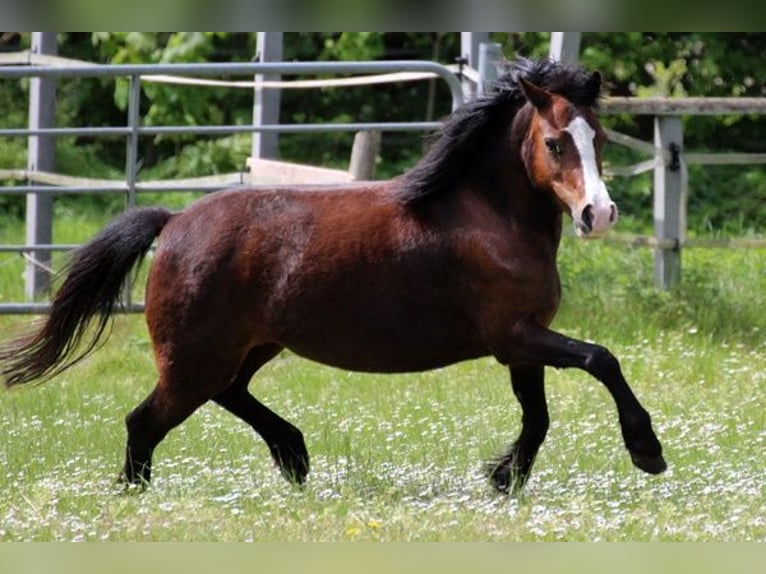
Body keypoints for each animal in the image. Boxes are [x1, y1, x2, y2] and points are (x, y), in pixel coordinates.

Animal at [0, 60, 664, 498]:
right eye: (554, 142)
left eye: (599, 138)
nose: (598, 214)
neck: (488, 217)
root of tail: (175, 221)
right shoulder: (513, 336)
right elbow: (601, 360)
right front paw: (647, 452)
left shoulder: (523, 345)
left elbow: (539, 417)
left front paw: (503, 479)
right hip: (195, 358)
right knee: (146, 420)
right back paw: (138, 494)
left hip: (249, 347)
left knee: (228, 393)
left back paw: (293, 456)